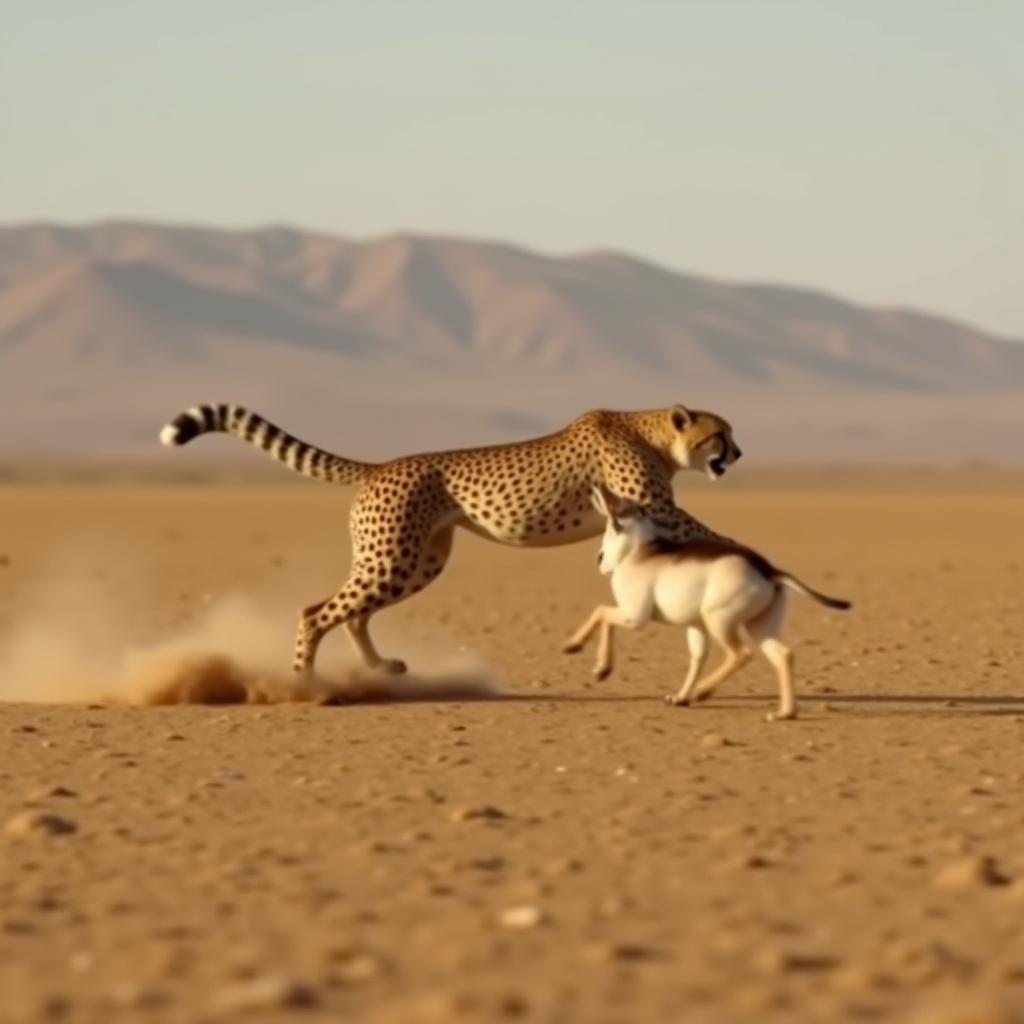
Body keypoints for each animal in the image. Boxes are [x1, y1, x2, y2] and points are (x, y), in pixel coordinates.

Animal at [159, 403, 741, 675]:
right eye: (720, 434)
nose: (737, 453)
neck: (652, 433)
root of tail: (380, 466)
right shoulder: (654, 507)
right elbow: (705, 529)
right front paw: (737, 548)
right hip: (393, 559)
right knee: (315, 611)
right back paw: (304, 682)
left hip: (416, 561)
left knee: (353, 613)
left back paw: (378, 668)